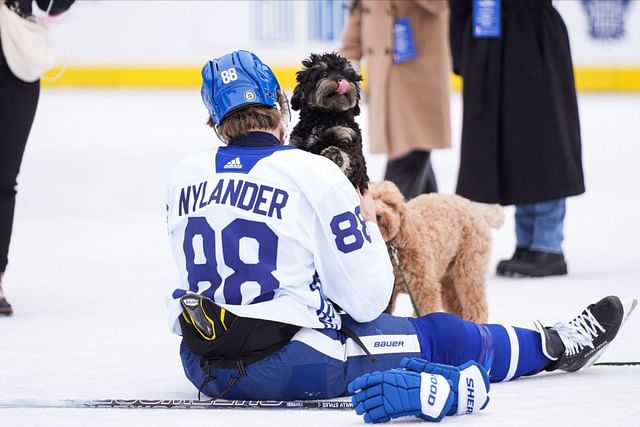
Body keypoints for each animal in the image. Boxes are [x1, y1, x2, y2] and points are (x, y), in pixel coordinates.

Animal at [290, 52, 370, 191]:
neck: (325, 116)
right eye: (323, 74)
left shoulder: (348, 137)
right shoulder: (297, 142)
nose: (340, 80)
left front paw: (334, 155)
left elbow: (351, 158)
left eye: (345, 75)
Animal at [370, 181, 504, 324]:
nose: (378, 215)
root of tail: (475, 208)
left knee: (476, 305)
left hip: (469, 269)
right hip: (448, 280)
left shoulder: (425, 289)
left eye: (390, 204)